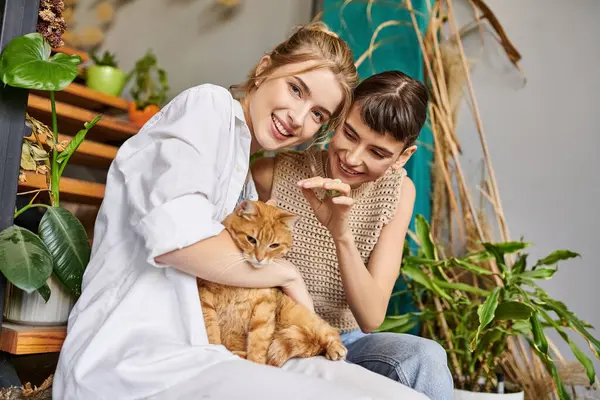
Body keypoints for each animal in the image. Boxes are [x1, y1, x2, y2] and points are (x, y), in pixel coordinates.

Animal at [198, 202, 346, 368]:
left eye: (274, 245)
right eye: (251, 239)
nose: (259, 258)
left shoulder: (264, 306)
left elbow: (258, 343)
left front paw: (255, 363)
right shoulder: (205, 298)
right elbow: (211, 332)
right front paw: (216, 350)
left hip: (298, 315)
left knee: (328, 331)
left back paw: (335, 348)